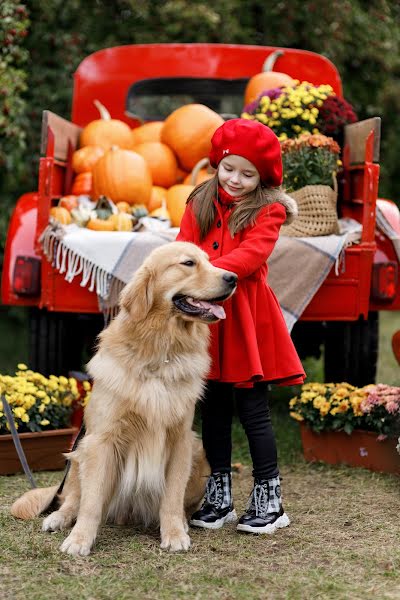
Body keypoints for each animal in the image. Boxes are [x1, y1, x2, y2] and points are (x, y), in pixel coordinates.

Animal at [10, 241, 238, 556]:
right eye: (188, 263)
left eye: (210, 260)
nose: (233, 278)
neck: (160, 353)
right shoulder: (102, 440)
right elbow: (91, 502)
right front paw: (80, 539)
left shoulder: (180, 439)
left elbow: (172, 496)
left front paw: (174, 533)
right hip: (80, 451)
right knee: (73, 499)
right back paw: (59, 518)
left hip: (199, 454)